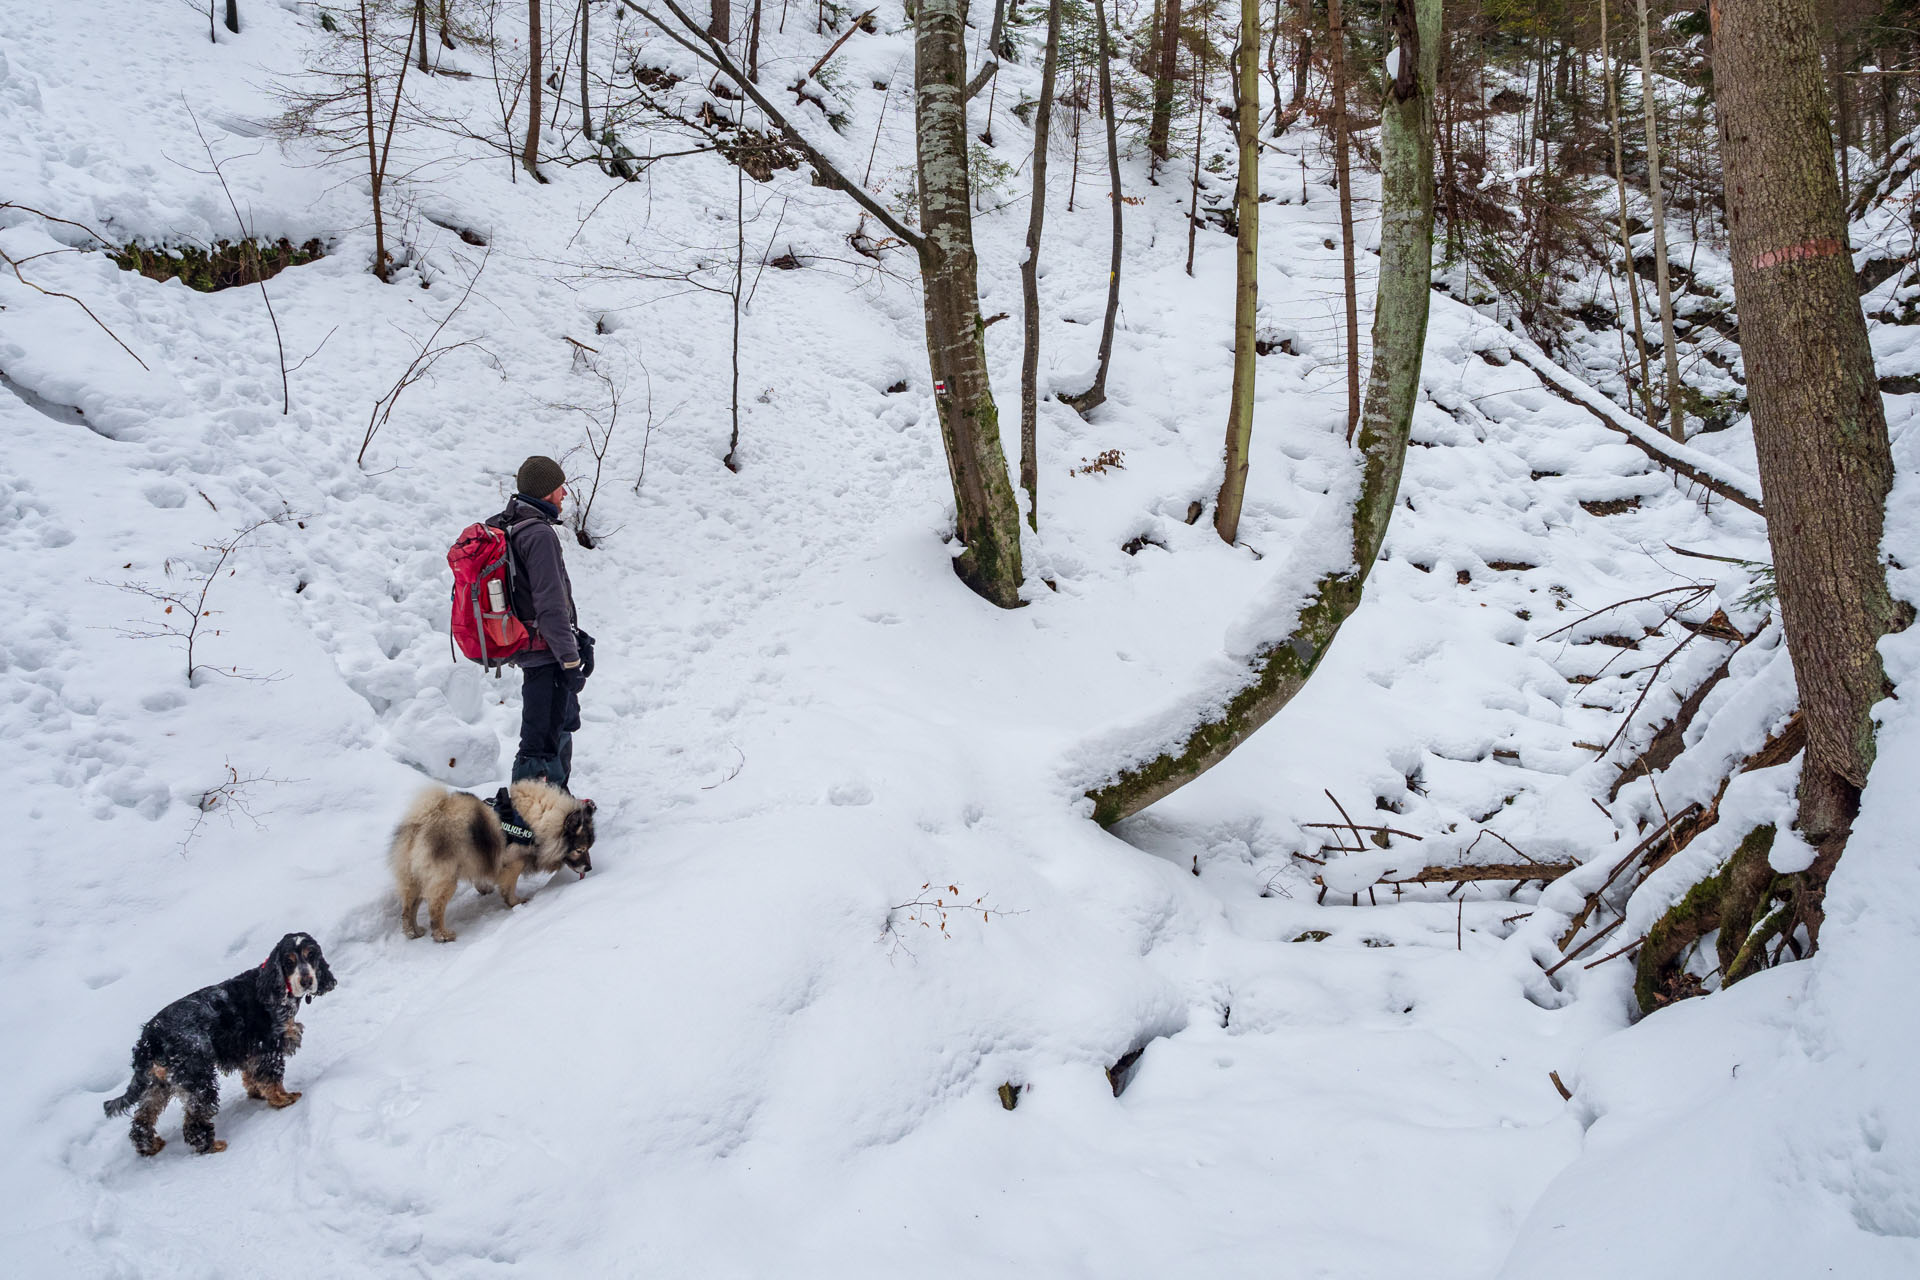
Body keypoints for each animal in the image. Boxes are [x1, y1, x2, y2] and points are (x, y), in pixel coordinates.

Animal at [389, 775, 591, 948]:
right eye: (580, 850)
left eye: (589, 847)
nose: (589, 867)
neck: (537, 820)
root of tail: (422, 821)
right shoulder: (513, 863)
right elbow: (509, 889)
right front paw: (516, 902)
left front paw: (485, 889)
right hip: (445, 878)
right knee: (434, 908)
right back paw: (442, 935)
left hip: (413, 877)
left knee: (409, 908)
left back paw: (413, 931)